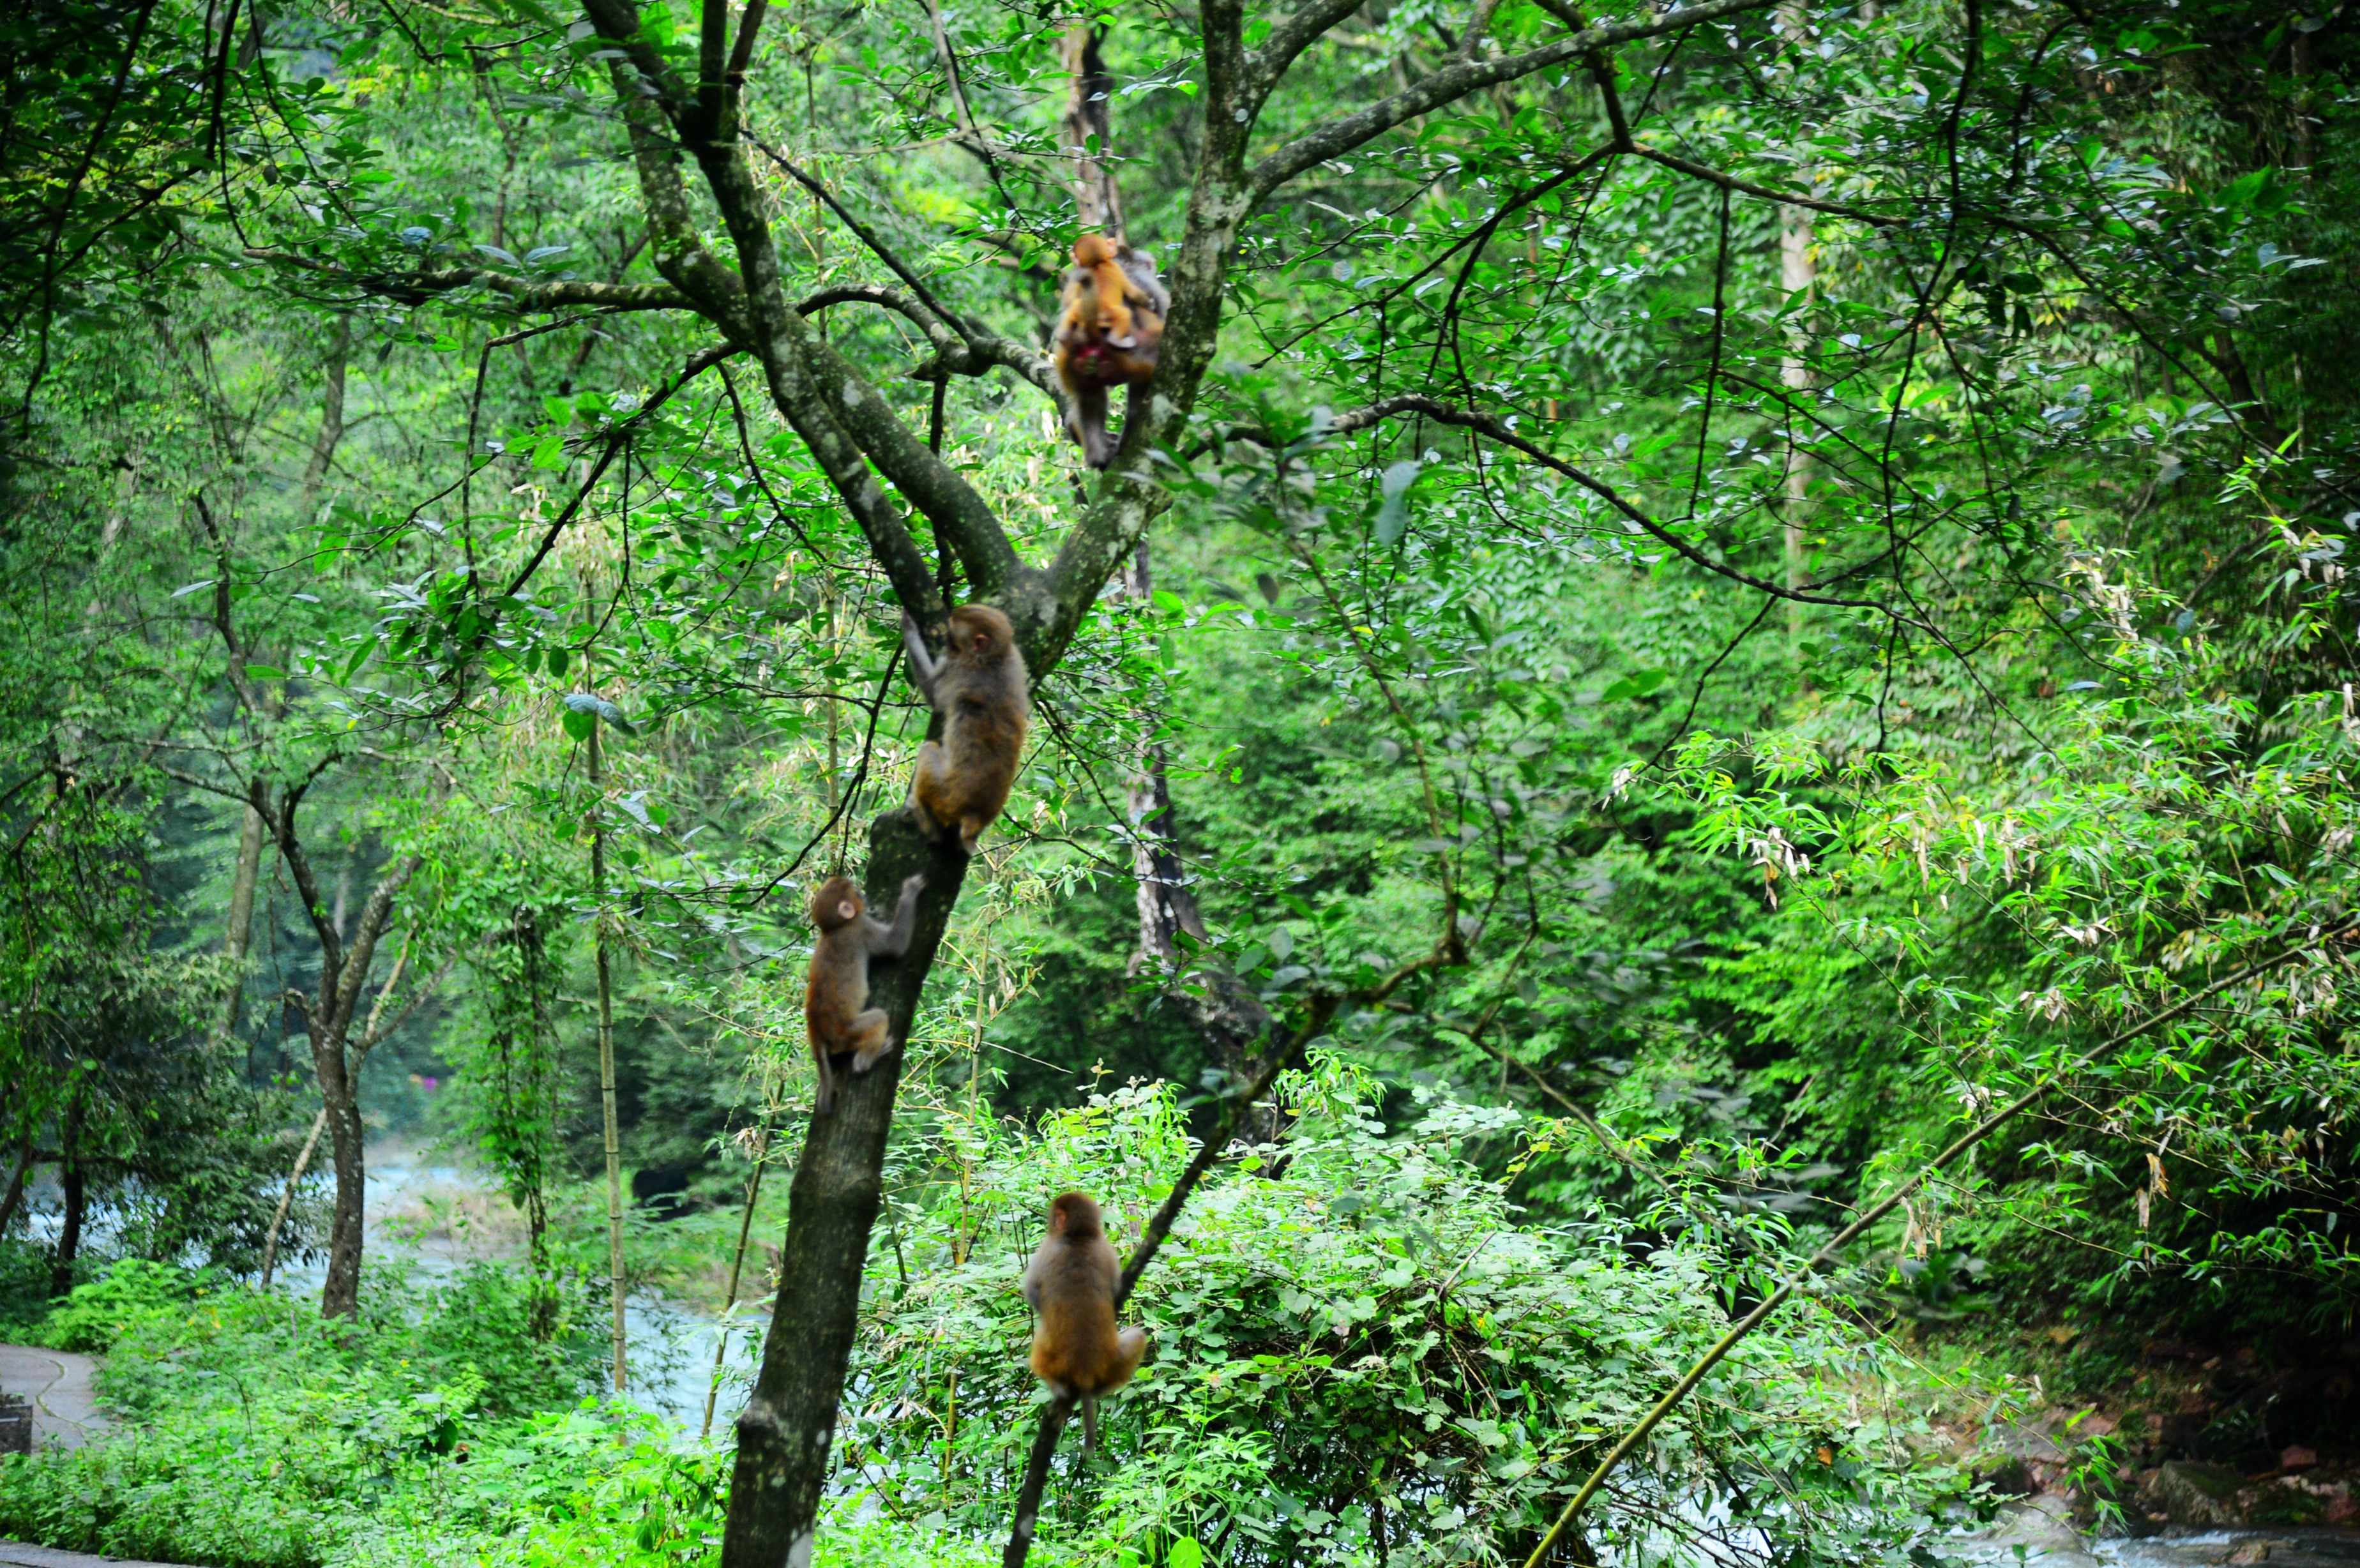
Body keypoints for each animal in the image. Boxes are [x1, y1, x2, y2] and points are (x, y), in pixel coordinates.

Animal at [807, 868, 925, 1113]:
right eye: (853, 892)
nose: (862, 893)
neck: (834, 929)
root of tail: (817, 1029)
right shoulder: (862, 928)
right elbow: (895, 945)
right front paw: (909, 892)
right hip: (848, 1032)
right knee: (878, 1018)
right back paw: (868, 1061)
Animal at [896, 601, 1029, 858]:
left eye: (952, 626)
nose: (944, 634)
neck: (994, 657)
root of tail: (973, 814)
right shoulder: (1016, 657)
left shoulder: (960, 670)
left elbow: (933, 695)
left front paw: (908, 625)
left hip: (942, 793)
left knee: (929, 750)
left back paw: (923, 819)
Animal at [1024, 1188, 1151, 1452]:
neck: (1078, 1237)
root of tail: (1083, 1370)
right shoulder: (1107, 1250)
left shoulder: (1045, 1250)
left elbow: (1032, 1292)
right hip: (1114, 1360)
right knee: (1138, 1336)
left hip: (1050, 1355)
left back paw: (1056, 1385)